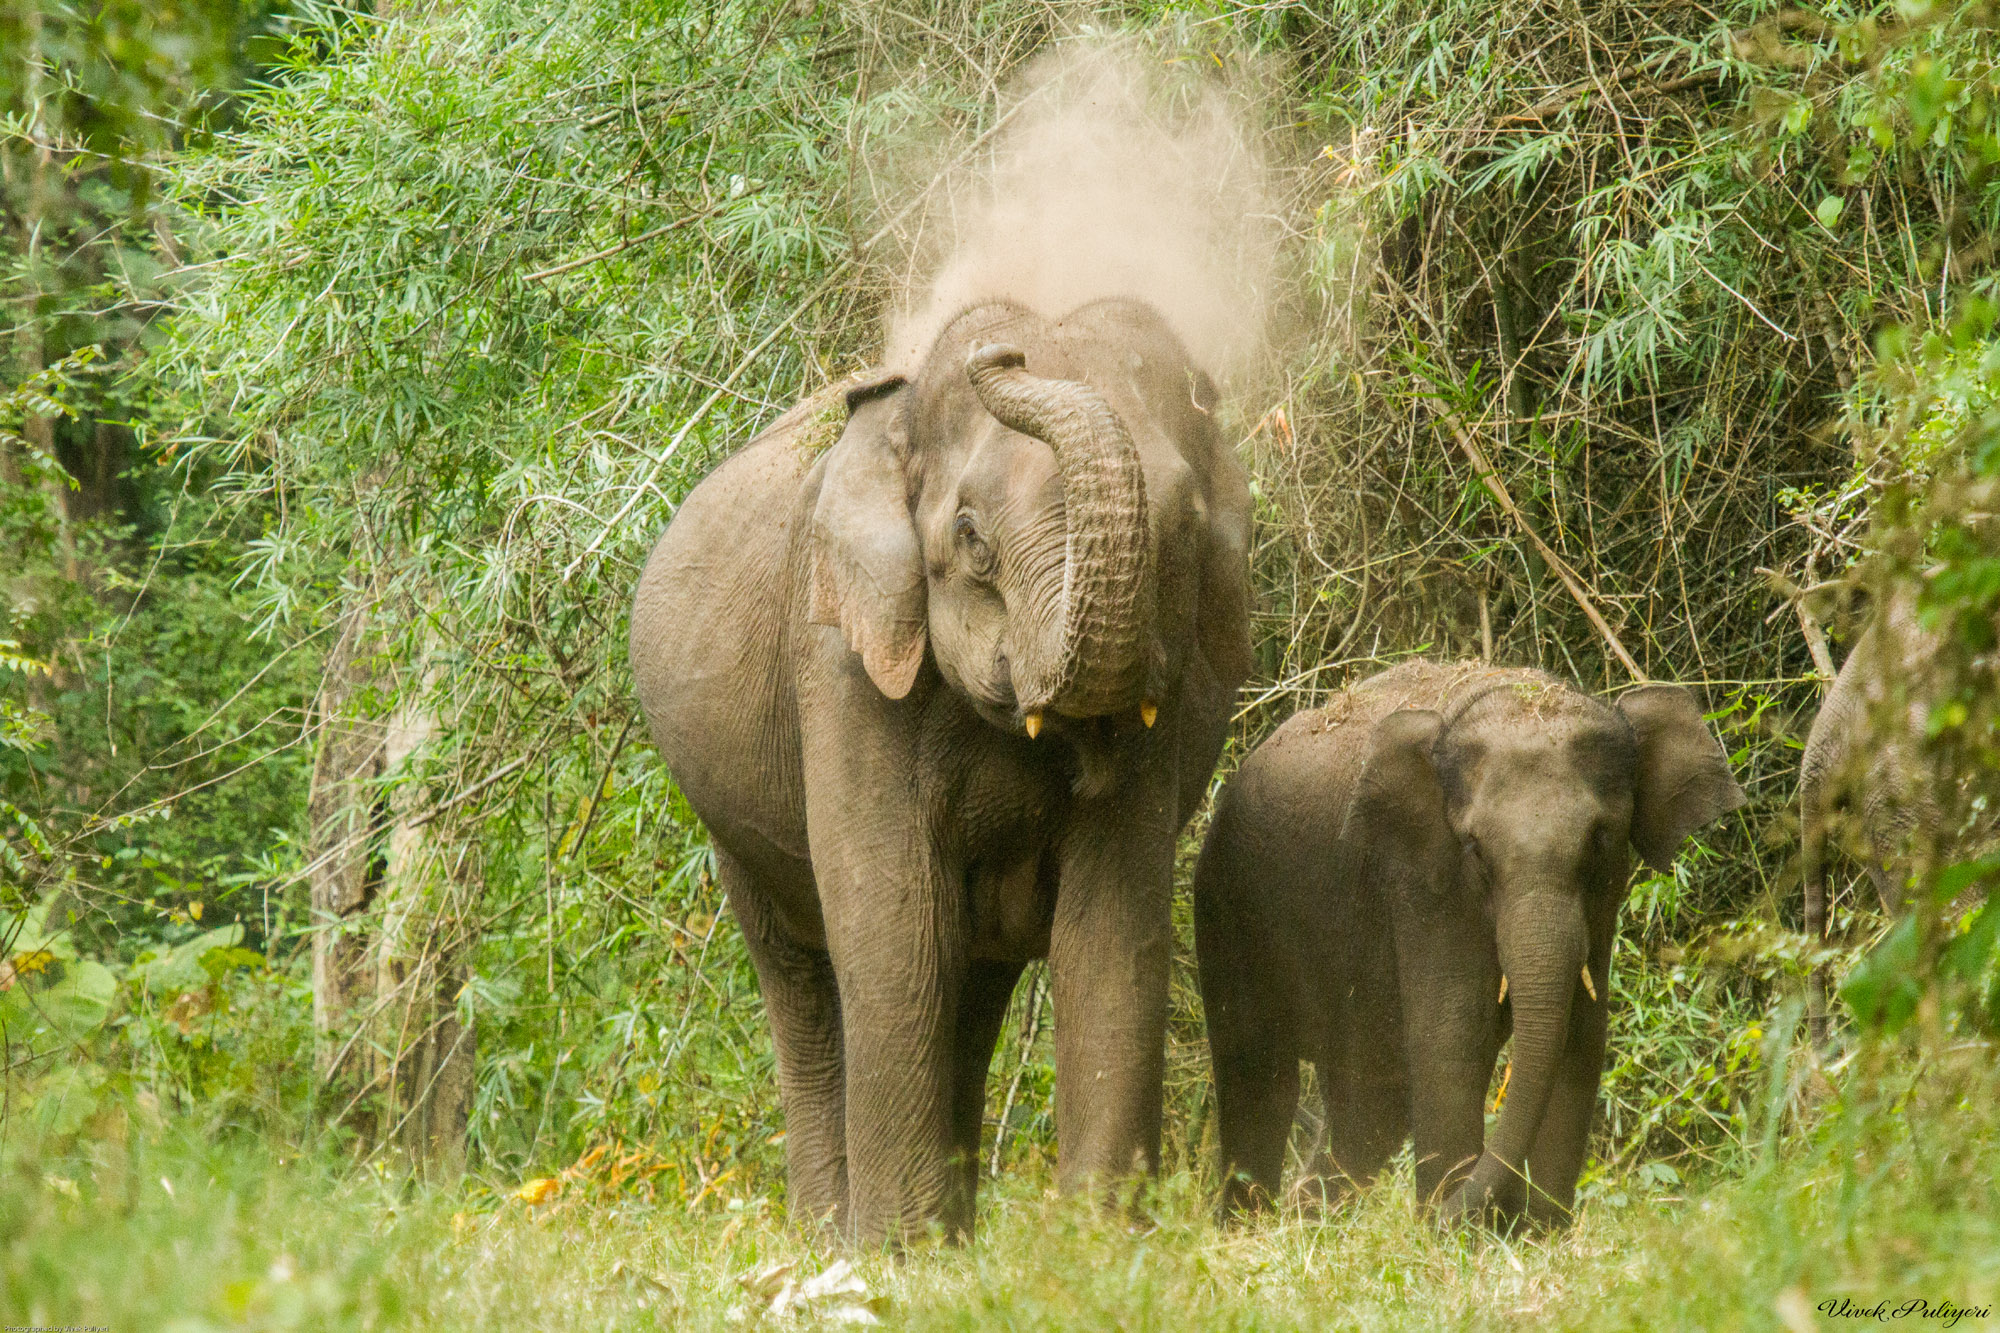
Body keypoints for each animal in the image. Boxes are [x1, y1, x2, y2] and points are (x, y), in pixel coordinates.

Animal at [624, 296, 1248, 1240]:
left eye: (1179, 532)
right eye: (970, 535)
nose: (1003, 353)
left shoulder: (1160, 716)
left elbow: (1109, 930)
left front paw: (1097, 1248)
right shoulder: (839, 659)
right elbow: (896, 924)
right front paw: (894, 1253)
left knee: (975, 978)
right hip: (733, 823)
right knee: (803, 975)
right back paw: (829, 1233)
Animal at [1192, 656, 1744, 1224]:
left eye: (1600, 840)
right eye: (1475, 849)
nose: (1442, 1217)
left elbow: (1580, 1039)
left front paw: (1539, 1231)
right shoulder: (1422, 879)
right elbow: (1452, 1036)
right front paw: (1451, 1230)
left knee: (1368, 1101)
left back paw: (1306, 1219)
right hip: (1230, 906)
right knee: (1261, 1075)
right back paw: (1252, 1225)